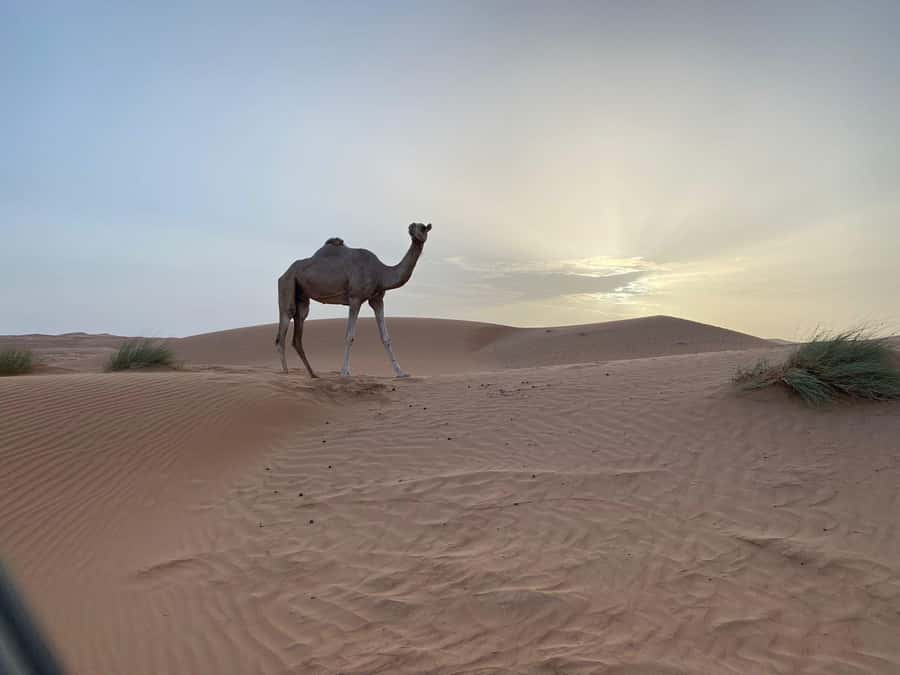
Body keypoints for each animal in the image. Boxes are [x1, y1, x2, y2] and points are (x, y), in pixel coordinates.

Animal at [276, 222, 432, 378]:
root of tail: (284, 273)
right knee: (283, 329)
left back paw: (313, 374)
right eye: (417, 226)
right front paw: (344, 372)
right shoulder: (355, 298)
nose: (411, 228)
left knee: (298, 331)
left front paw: (401, 373)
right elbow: (349, 336)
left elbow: (385, 337)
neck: (381, 273)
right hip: (287, 284)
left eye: (423, 227)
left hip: (302, 297)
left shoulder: (377, 299)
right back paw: (285, 372)